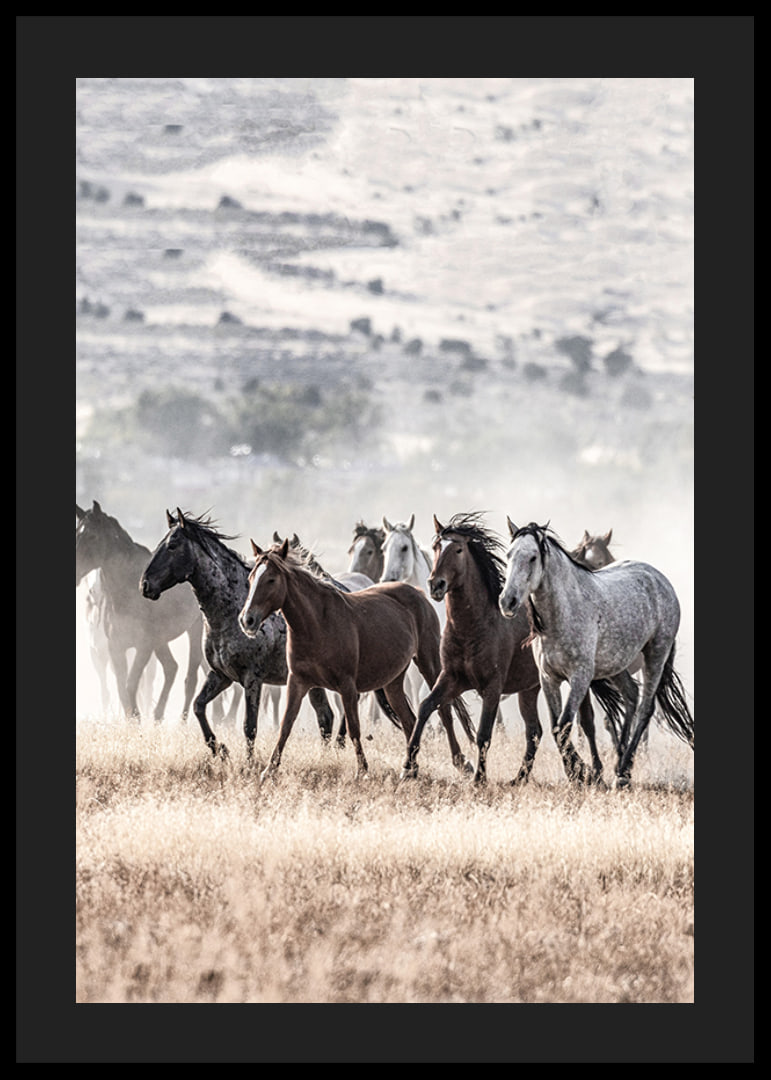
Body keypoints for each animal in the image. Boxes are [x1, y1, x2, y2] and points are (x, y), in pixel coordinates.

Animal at [76, 501, 205, 723]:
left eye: (92, 536)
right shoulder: (116, 647)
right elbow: (121, 688)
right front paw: (133, 720)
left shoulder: (144, 646)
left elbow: (130, 684)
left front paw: (136, 718)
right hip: (161, 640)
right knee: (171, 668)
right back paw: (158, 716)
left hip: (194, 629)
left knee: (191, 677)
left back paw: (181, 720)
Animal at [139, 510, 337, 759]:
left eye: (173, 545)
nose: (145, 585)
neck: (231, 613)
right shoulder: (221, 675)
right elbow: (198, 706)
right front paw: (220, 750)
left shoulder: (253, 678)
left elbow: (249, 726)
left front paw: (249, 764)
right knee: (325, 717)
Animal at [238, 538, 475, 783]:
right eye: (251, 578)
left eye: (271, 579)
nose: (247, 620)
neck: (317, 623)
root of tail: (418, 592)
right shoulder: (298, 682)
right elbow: (286, 724)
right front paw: (269, 770)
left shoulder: (347, 686)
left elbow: (353, 727)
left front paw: (362, 771)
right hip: (393, 682)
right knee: (409, 719)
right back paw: (411, 768)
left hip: (429, 663)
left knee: (444, 710)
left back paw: (460, 762)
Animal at [402, 513, 624, 785]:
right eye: (436, 547)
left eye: (458, 549)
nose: (436, 584)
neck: (475, 626)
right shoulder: (451, 679)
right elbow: (425, 708)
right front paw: (409, 766)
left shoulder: (492, 687)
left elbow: (484, 733)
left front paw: (479, 779)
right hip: (529, 689)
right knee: (536, 731)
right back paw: (522, 778)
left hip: (576, 681)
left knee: (586, 723)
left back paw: (594, 773)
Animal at [499, 520, 693, 786]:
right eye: (509, 555)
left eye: (532, 557)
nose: (507, 601)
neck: (565, 611)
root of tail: (660, 579)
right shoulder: (548, 678)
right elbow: (557, 727)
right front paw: (581, 773)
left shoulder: (580, 678)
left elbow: (566, 725)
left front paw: (582, 774)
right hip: (617, 664)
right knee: (631, 696)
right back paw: (620, 762)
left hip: (655, 656)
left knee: (645, 708)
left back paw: (624, 772)